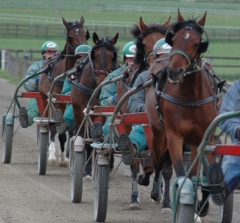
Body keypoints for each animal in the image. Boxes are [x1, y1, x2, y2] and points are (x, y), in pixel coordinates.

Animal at [39, 17, 89, 167]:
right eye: (70, 36)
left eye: (85, 35)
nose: (83, 54)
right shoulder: (58, 102)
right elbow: (59, 130)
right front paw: (58, 158)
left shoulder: (73, 102)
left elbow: (70, 129)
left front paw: (66, 157)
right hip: (45, 99)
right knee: (51, 126)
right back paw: (51, 155)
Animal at [70, 31, 119, 178]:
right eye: (95, 55)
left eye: (112, 56)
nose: (103, 80)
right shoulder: (84, 109)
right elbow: (88, 136)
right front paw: (87, 170)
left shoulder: (102, 110)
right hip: (76, 108)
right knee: (82, 132)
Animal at [146, 9, 223, 218]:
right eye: (175, 40)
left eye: (196, 43)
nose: (175, 71)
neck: (192, 97)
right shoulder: (174, 136)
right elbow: (181, 175)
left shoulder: (205, 138)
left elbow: (201, 173)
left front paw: (203, 205)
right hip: (157, 131)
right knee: (157, 160)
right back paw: (156, 192)